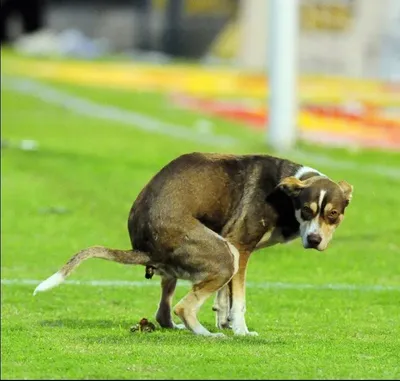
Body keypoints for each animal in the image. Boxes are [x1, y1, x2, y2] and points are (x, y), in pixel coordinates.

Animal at [34, 151, 354, 336]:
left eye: (333, 215)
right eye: (307, 211)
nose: (314, 240)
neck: (286, 195)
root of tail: (144, 247)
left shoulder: (234, 249)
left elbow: (224, 299)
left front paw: (224, 319)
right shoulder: (239, 248)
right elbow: (239, 302)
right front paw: (240, 331)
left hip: (188, 267)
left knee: (164, 313)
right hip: (223, 256)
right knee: (182, 308)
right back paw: (205, 334)